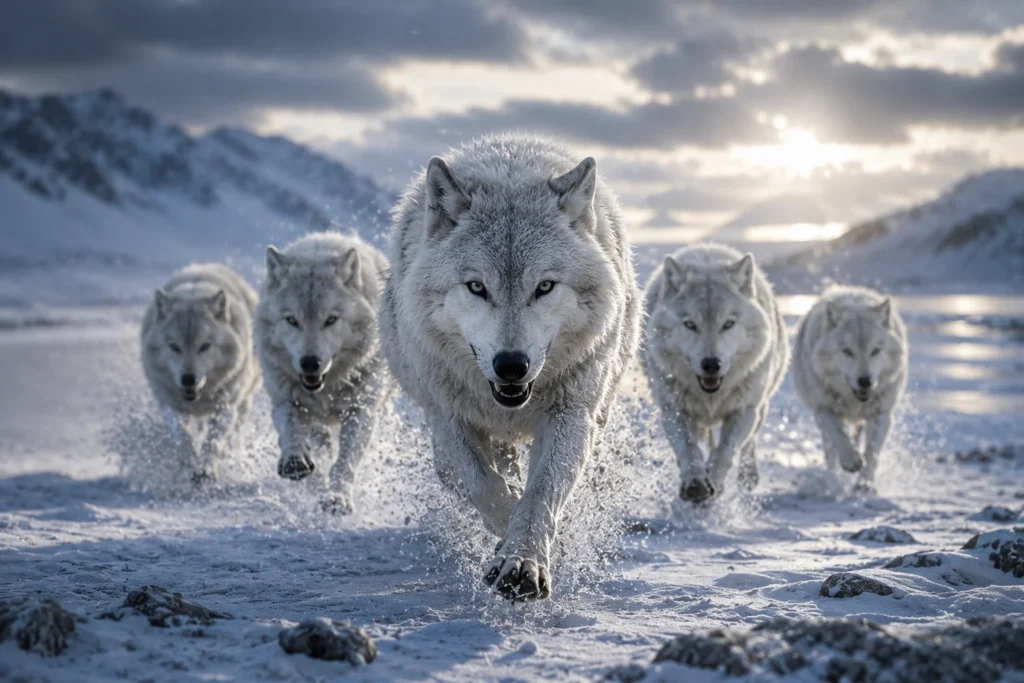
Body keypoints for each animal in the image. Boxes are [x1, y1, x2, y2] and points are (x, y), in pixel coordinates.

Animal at [140, 263, 260, 482]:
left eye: (205, 346)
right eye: (174, 346)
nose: (188, 379)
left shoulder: (225, 407)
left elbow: (213, 442)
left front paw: (206, 470)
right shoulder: (169, 405)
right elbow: (182, 436)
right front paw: (190, 462)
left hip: (244, 401)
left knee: (234, 431)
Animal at [255, 232, 390, 514]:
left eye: (331, 320)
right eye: (291, 320)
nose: (310, 363)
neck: (327, 388)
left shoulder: (361, 411)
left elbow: (345, 461)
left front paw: (336, 498)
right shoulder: (284, 398)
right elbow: (290, 427)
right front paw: (295, 460)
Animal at [380, 133, 641, 601]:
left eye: (545, 286)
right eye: (476, 287)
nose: (511, 366)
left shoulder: (571, 415)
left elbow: (539, 496)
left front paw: (522, 561)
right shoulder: (449, 417)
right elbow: (484, 486)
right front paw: (505, 542)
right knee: (458, 473)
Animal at [643, 243, 788, 503]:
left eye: (728, 324)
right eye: (690, 324)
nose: (711, 364)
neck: (711, 396)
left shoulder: (744, 410)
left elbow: (726, 450)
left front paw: (715, 481)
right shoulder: (673, 409)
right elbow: (688, 448)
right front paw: (695, 483)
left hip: (760, 408)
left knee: (749, 443)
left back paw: (747, 476)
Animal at [792, 285, 907, 489]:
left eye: (875, 350)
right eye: (847, 351)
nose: (865, 381)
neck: (855, 400)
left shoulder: (882, 414)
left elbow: (872, 452)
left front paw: (865, 484)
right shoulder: (822, 410)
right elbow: (839, 435)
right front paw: (850, 461)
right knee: (830, 451)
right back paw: (834, 477)